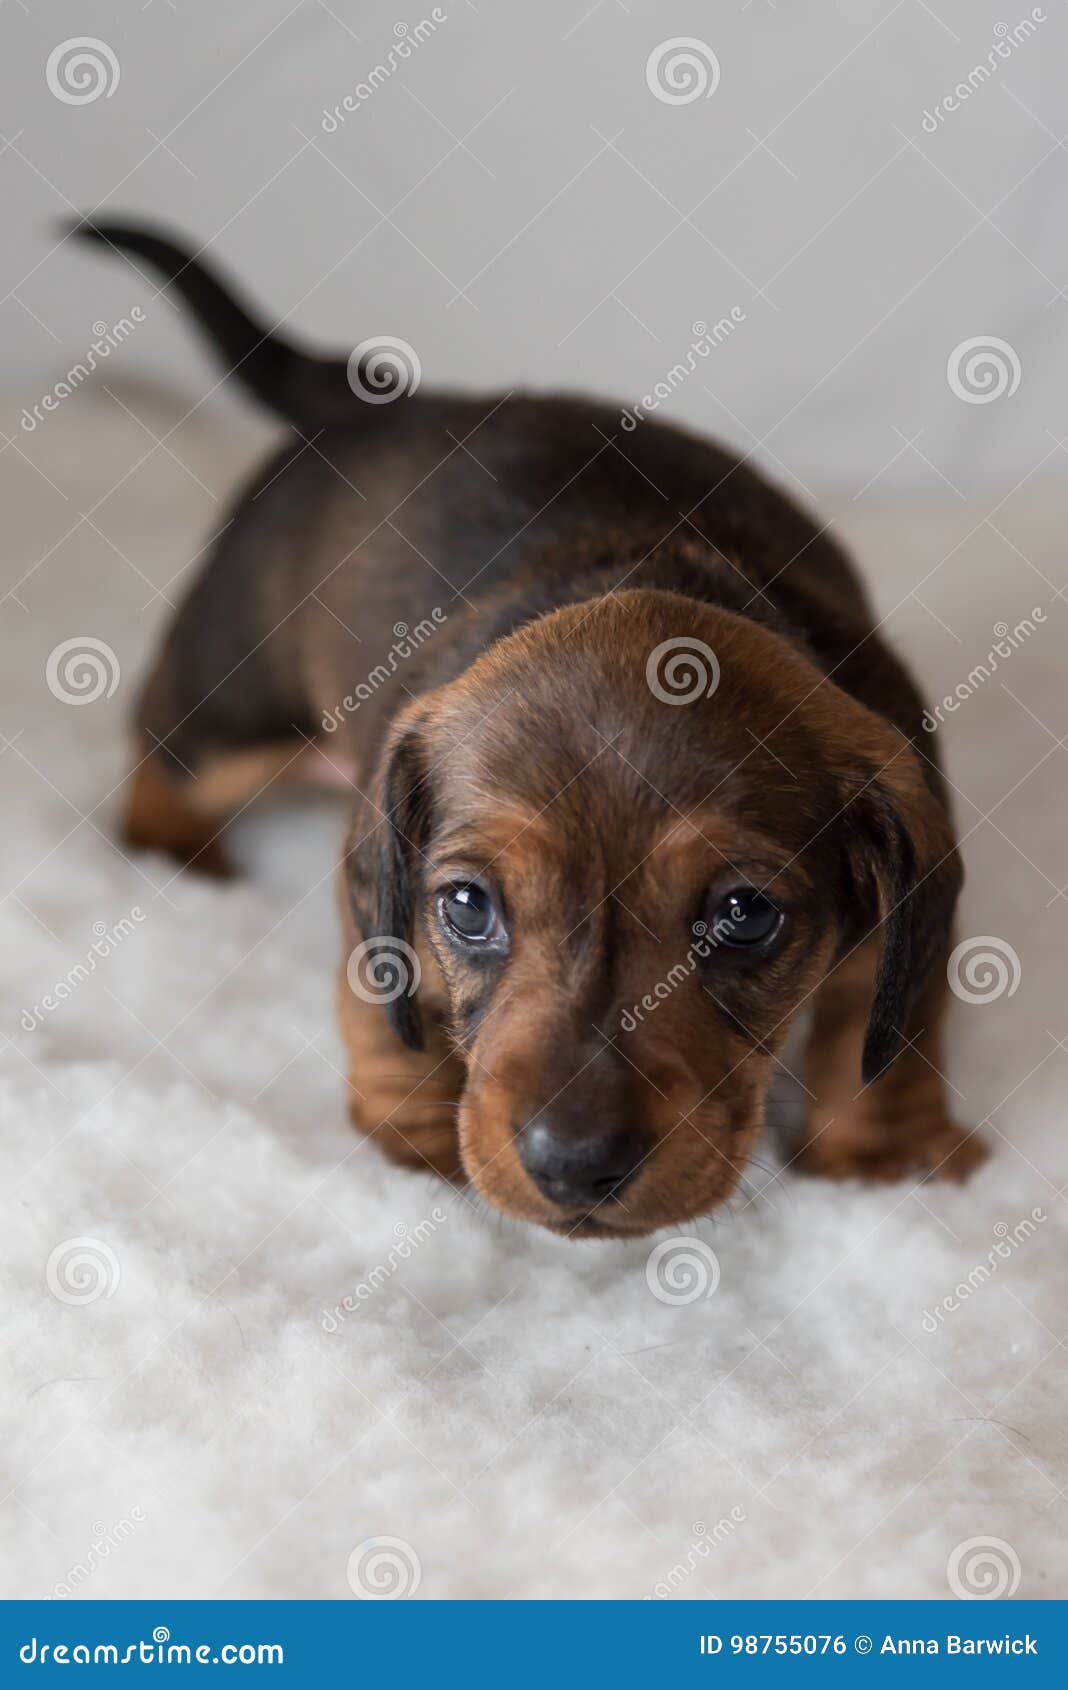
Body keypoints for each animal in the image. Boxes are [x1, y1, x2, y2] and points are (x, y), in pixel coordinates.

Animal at [79, 224, 986, 1237]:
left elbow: (885, 1028)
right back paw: (174, 851)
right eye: (469, 906)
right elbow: (387, 1015)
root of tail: (397, 404)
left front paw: (883, 1156)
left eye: (746, 915)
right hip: (236, 699)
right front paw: (421, 1141)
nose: (575, 1168)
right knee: (163, 746)